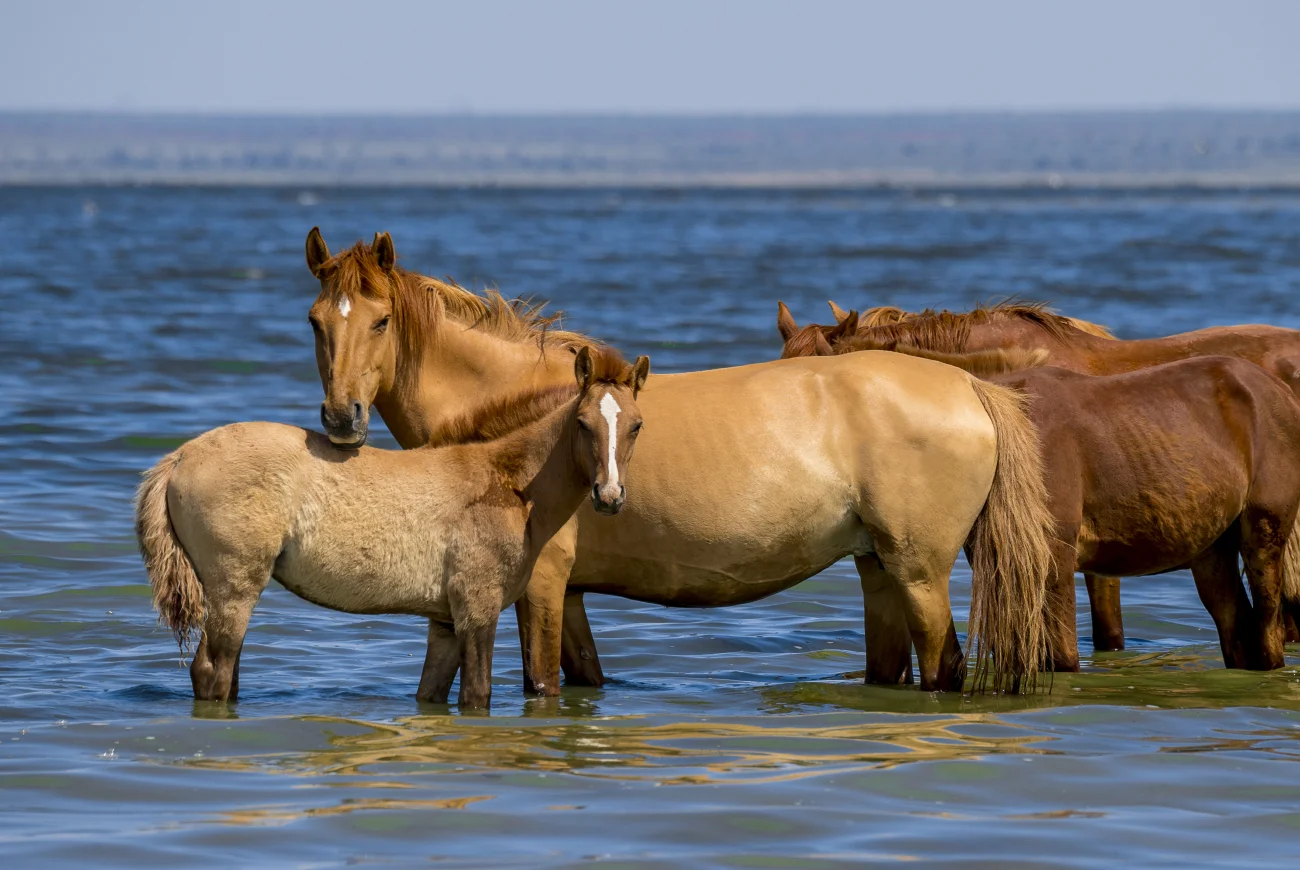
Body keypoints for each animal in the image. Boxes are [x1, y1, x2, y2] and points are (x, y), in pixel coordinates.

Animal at [135, 345, 649, 710]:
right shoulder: (478, 611)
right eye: (582, 423)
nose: (609, 496)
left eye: (637, 426)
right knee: (212, 672)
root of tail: (180, 456)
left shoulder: (445, 621)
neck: (505, 481)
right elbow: (477, 697)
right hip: (234, 588)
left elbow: (431, 696)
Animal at [300, 229, 1059, 694]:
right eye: (315, 321)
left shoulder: (542, 586)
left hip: (920, 571)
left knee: (943, 665)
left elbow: (541, 683)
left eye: (380, 321)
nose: (342, 419)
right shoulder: (570, 595)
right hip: (877, 566)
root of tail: (970, 387)